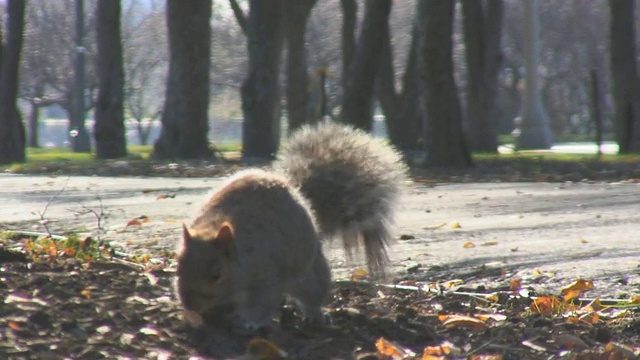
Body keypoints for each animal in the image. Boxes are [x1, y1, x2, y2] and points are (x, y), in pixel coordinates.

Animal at [176, 121, 404, 332]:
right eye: (178, 268)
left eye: (217, 275)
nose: (189, 305)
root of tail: (298, 194)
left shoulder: (267, 275)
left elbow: (263, 303)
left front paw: (249, 321)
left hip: (308, 275)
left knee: (313, 293)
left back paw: (315, 315)